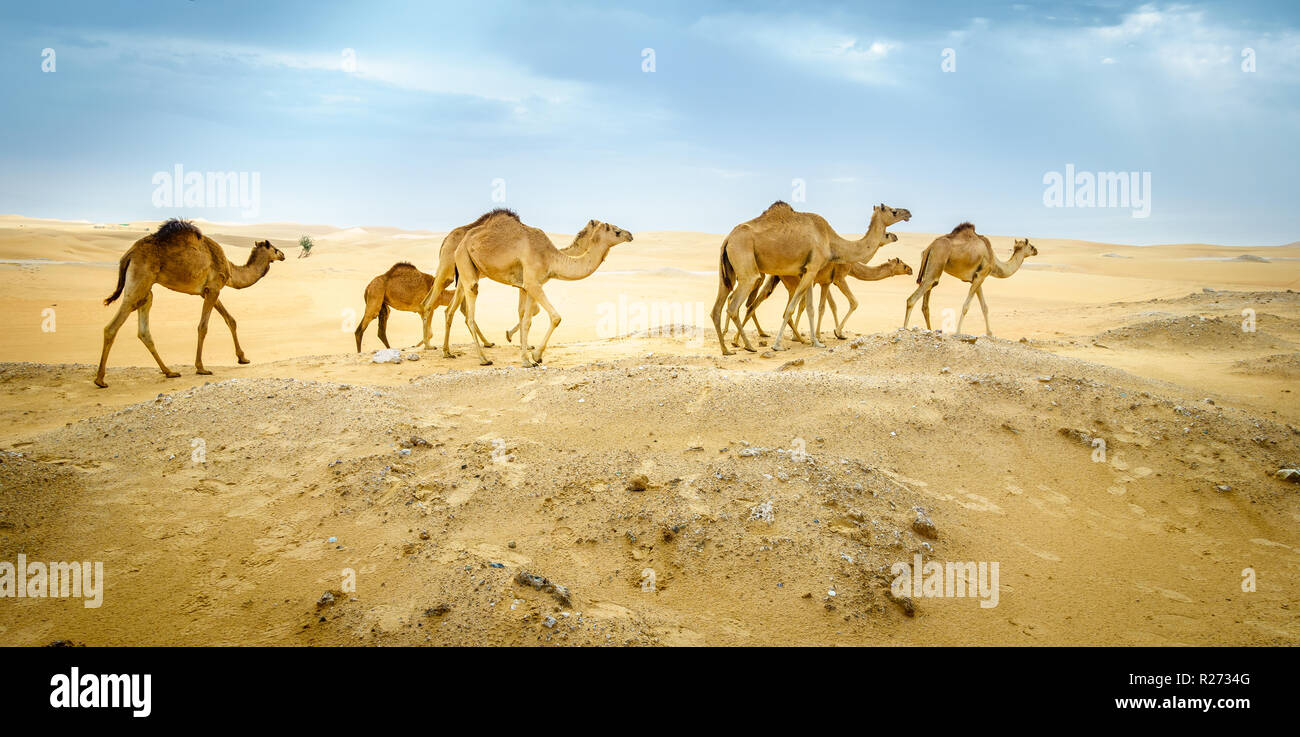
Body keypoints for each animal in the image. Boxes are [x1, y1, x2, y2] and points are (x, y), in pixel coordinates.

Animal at [95, 219, 287, 389]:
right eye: (274, 248)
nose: (283, 254)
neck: (231, 270)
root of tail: (129, 254)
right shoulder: (214, 288)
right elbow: (203, 327)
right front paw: (201, 368)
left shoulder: (207, 291)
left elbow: (230, 320)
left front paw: (243, 358)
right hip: (139, 281)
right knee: (112, 327)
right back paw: (100, 380)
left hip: (145, 291)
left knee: (143, 330)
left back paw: (169, 372)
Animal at [441, 209, 634, 366]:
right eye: (616, 231)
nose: (630, 235)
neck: (551, 258)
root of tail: (462, 241)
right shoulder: (533, 283)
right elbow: (555, 317)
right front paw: (536, 356)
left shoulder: (529, 286)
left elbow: (527, 320)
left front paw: (527, 359)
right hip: (464, 261)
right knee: (470, 311)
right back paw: (483, 358)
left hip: (466, 269)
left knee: (452, 309)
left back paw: (449, 352)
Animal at [733, 232, 904, 345]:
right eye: (903, 264)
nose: (909, 269)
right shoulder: (837, 279)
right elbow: (846, 303)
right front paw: (833, 333)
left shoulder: (825, 282)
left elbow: (829, 305)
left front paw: (832, 333)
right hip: (792, 280)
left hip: (779, 278)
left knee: (756, 302)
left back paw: (742, 339)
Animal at [904, 222, 1034, 335]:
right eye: (1031, 246)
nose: (1036, 250)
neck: (993, 259)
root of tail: (930, 247)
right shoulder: (981, 275)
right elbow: (966, 307)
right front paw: (957, 332)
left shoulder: (976, 278)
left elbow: (984, 307)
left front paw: (990, 334)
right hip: (937, 261)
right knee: (912, 299)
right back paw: (904, 329)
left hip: (930, 269)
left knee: (925, 304)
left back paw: (930, 330)